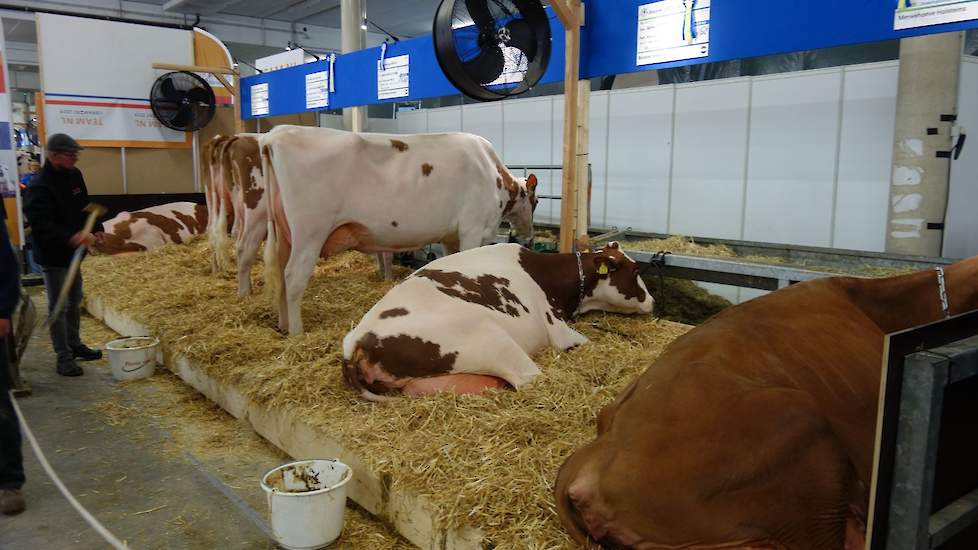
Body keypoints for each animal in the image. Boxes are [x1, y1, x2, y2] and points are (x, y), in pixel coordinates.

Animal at [264, 126, 536, 336]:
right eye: (535, 200)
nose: (529, 234)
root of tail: (277, 134)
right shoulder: (472, 227)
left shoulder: (450, 235)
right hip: (310, 233)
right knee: (293, 277)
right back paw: (297, 332)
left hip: (285, 236)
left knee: (280, 275)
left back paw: (283, 325)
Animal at [340, 244, 652, 404]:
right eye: (636, 269)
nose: (652, 301)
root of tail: (358, 341)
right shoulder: (559, 329)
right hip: (495, 342)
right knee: (530, 379)